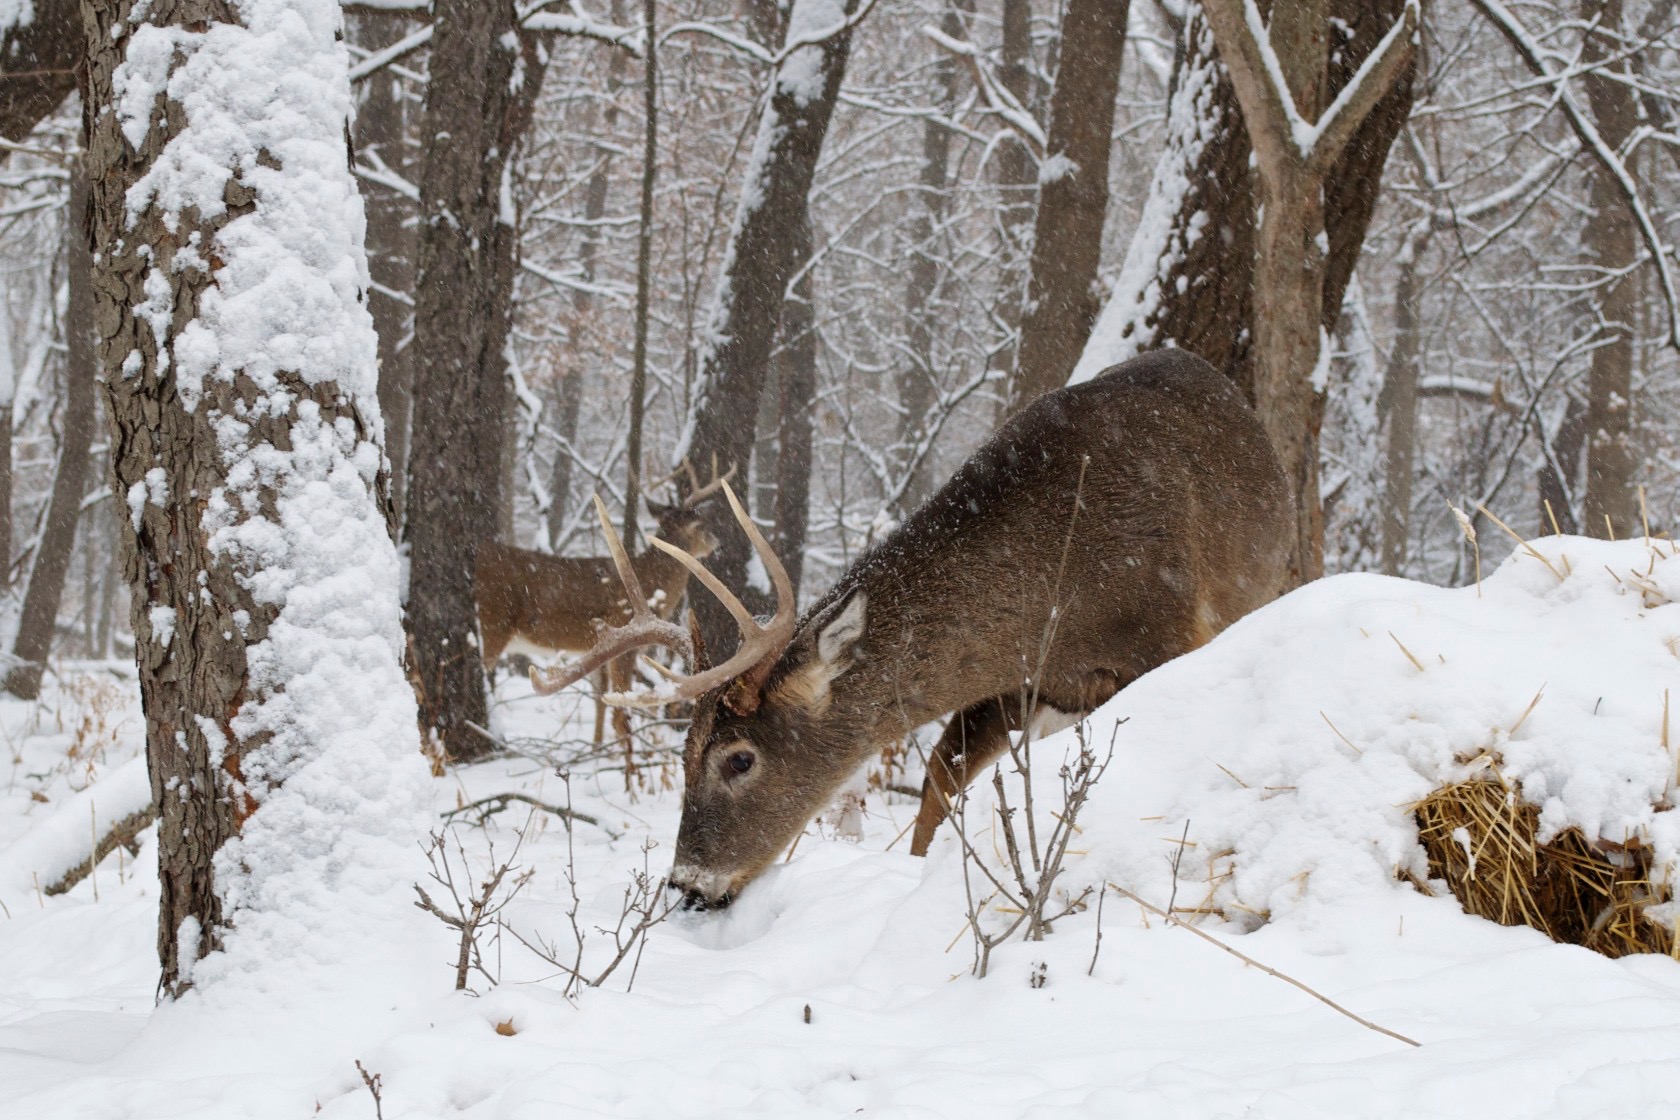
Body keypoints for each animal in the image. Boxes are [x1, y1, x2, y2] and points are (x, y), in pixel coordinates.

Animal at [475, 465, 733, 748]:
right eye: (702, 525)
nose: (719, 544)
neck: (651, 583)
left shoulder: (595, 645)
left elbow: (600, 702)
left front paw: (597, 747)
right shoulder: (623, 634)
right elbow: (621, 714)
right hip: (492, 626)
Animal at [530, 350, 1293, 908]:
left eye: (739, 758)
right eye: (684, 753)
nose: (688, 886)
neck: (1063, 581)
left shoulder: (1170, 635)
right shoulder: (1019, 680)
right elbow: (937, 778)